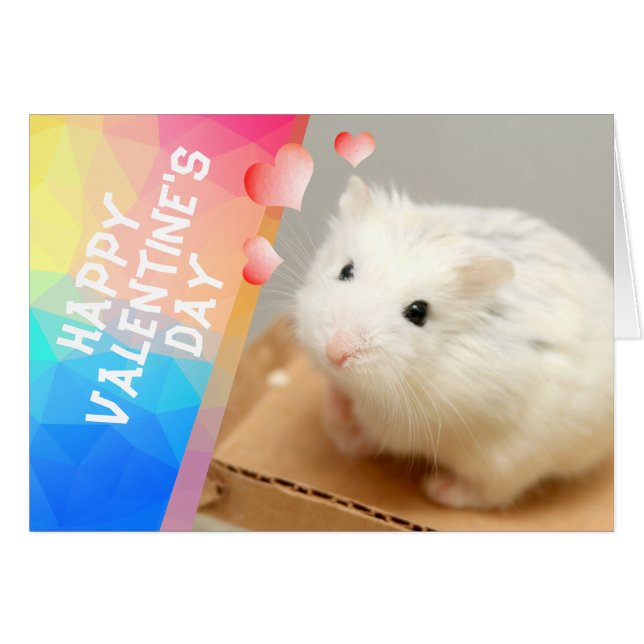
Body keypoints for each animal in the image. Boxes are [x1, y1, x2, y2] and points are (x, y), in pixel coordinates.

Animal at [294, 176, 613, 509]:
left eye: (418, 312)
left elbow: (372, 426)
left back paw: (439, 488)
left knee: (492, 492)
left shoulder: (410, 420)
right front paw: (334, 398)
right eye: (346, 270)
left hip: (512, 461)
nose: (335, 353)